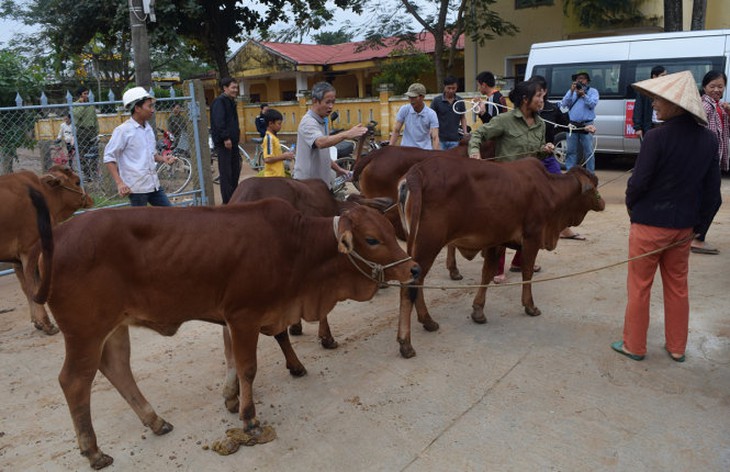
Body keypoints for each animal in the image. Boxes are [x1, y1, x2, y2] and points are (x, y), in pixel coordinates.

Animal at [0, 164, 92, 334]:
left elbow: (25, 287)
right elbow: (33, 286)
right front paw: (46, 324)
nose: (89, 198)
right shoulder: (30, 249)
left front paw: (37, 322)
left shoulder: (16, 258)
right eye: (77, 182)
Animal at [27, 198, 416, 468]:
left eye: (389, 229)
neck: (296, 247)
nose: (413, 268)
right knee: (74, 381)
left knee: (117, 369)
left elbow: (230, 361)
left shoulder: (233, 319)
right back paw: (93, 451)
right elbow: (247, 368)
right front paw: (249, 419)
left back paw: (155, 421)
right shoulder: (244, 316)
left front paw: (230, 399)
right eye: (372, 239)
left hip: (115, 327)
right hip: (85, 332)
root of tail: (56, 237)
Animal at [392, 158, 604, 358]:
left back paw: (428, 321)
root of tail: (416, 172)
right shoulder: (532, 238)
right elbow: (527, 273)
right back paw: (406, 343)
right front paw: (530, 306)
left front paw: (478, 311)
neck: (550, 190)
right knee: (410, 287)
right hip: (429, 244)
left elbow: (487, 273)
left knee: (418, 282)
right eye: (595, 184)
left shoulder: (497, 241)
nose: (602, 203)